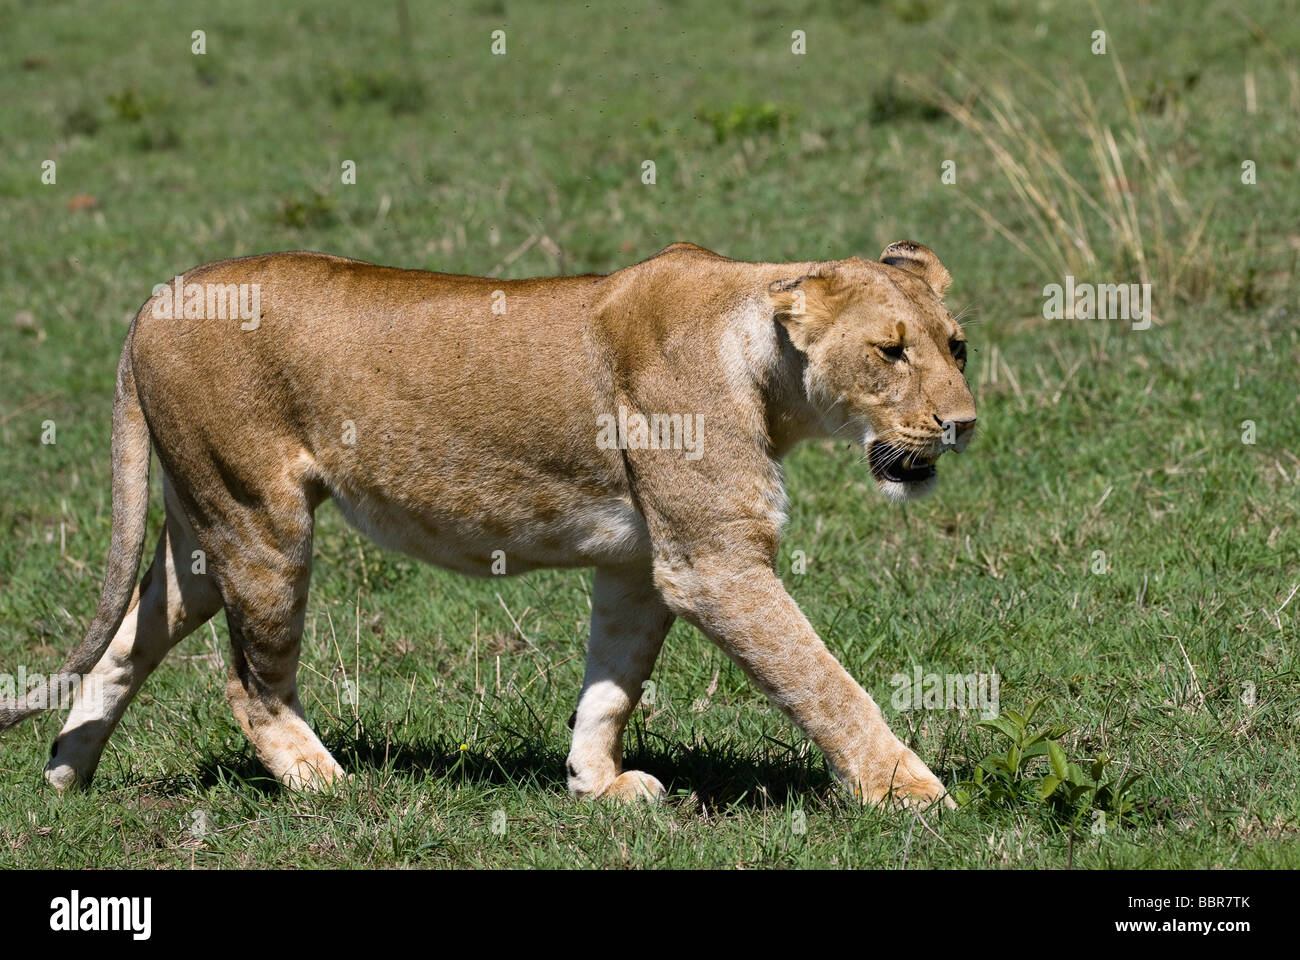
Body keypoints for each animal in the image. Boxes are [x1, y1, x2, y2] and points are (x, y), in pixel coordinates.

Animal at [0, 240, 975, 807]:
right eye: (890, 351)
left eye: (956, 344)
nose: (963, 424)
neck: (765, 364)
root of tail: (157, 299)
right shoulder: (714, 562)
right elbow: (823, 681)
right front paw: (912, 793)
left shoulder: (641, 562)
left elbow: (612, 680)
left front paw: (597, 784)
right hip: (259, 521)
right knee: (246, 683)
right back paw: (324, 784)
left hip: (202, 529)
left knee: (127, 641)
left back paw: (63, 777)